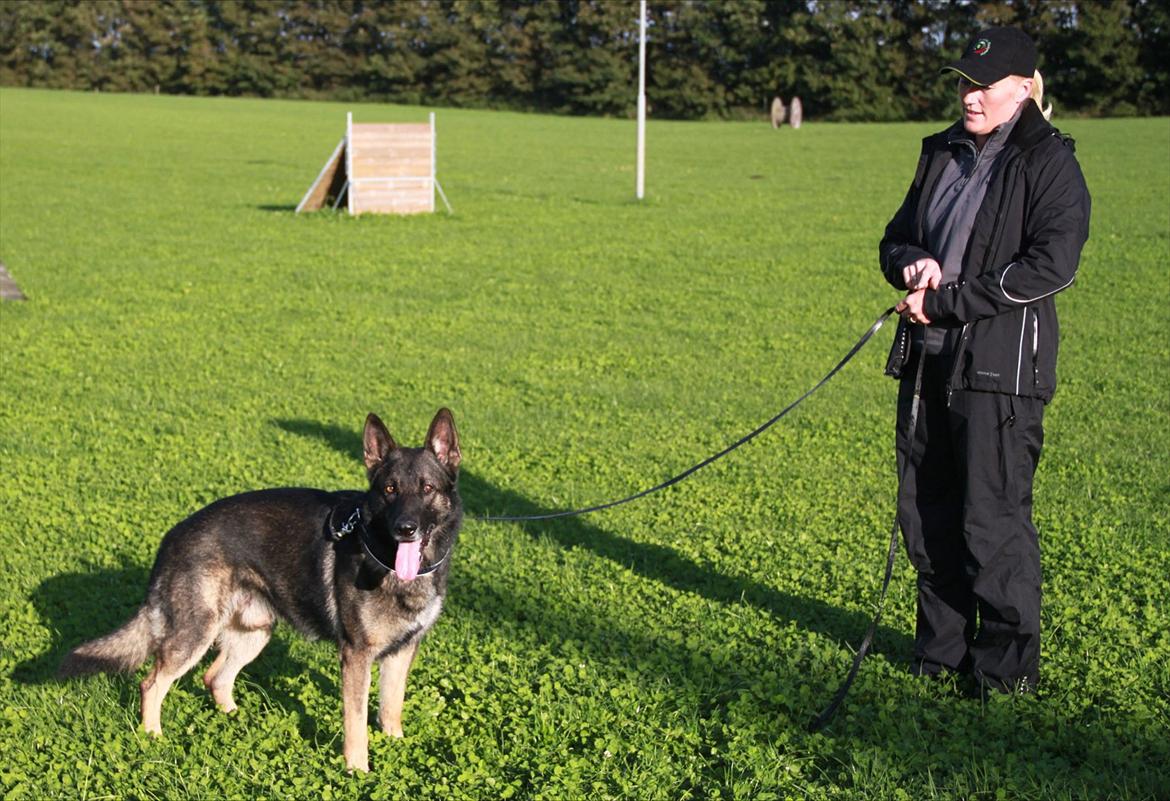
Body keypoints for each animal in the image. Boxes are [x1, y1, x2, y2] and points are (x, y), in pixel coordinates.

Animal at [59, 409, 460, 771]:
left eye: (427, 489)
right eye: (390, 489)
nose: (405, 528)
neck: (383, 556)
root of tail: (173, 536)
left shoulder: (401, 652)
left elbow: (391, 708)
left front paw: (396, 745)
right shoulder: (356, 657)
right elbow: (356, 724)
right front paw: (357, 771)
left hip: (256, 632)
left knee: (214, 677)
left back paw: (235, 719)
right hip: (195, 635)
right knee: (152, 683)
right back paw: (153, 738)